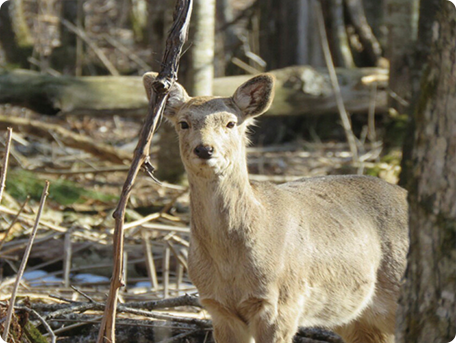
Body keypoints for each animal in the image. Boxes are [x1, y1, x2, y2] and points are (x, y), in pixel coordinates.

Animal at [142, 73, 410, 343]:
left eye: (231, 123)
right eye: (184, 123)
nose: (205, 149)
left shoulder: (281, 303)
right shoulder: (217, 307)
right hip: (358, 318)